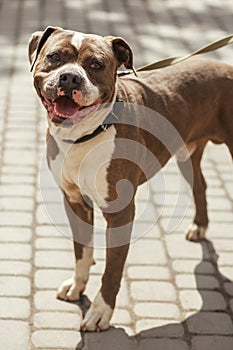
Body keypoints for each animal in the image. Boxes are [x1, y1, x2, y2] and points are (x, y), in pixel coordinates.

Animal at [28, 26, 233, 330]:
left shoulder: (120, 212)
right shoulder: (75, 202)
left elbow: (112, 267)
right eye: (54, 57)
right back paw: (199, 226)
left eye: (96, 65)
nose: (70, 77)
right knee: (200, 184)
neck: (84, 136)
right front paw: (77, 285)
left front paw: (100, 311)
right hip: (187, 151)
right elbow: (82, 251)